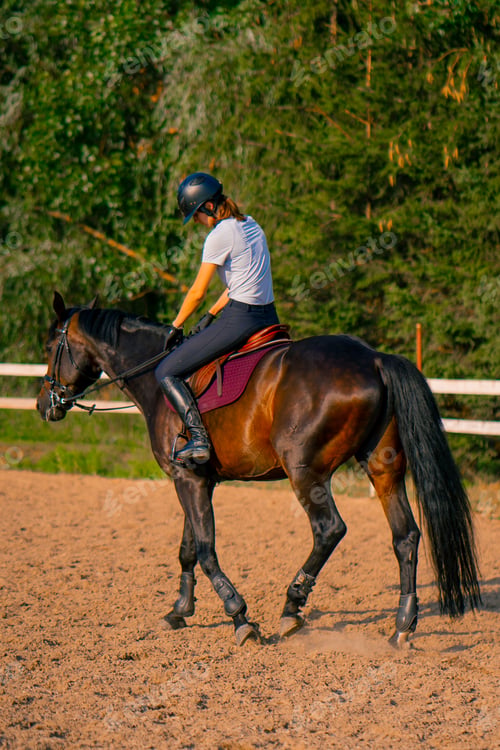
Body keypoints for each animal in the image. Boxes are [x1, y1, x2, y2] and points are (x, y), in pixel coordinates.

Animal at [37, 292, 481, 647]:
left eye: (48, 346)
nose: (45, 405)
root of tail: (373, 358)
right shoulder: (196, 480)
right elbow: (187, 548)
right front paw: (179, 610)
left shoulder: (188, 480)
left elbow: (206, 550)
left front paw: (239, 617)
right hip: (382, 468)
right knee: (405, 536)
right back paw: (402, 626)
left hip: (305, 471)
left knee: (330, 529)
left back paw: (292, 607)